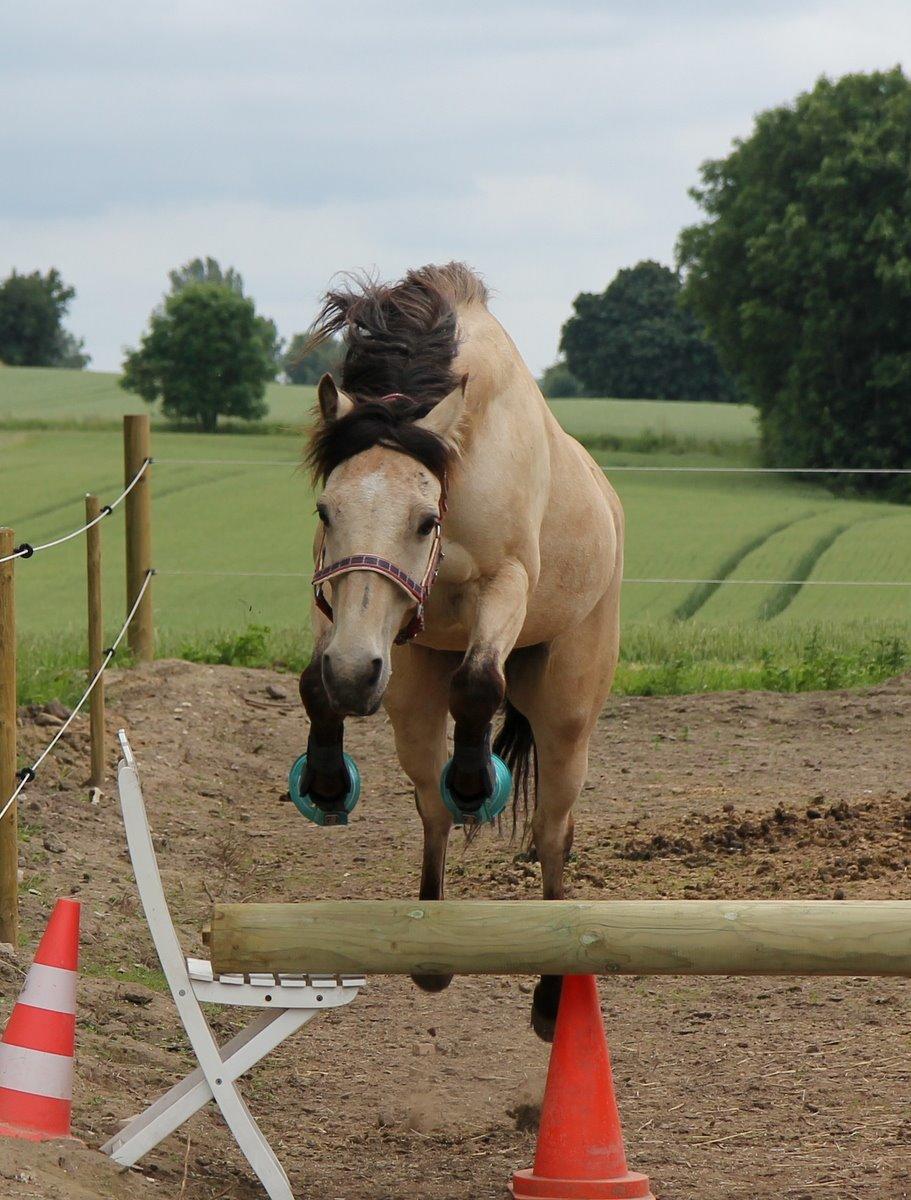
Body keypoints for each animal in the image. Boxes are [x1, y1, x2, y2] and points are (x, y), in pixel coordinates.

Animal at [295, 265, 624, 1041]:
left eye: (424, 520)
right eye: (326, 510)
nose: (357, 673)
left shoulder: (505, 584)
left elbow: (477, 684)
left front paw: (475, 783)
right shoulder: (345, 616)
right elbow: (313, 684)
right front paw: (325, 779)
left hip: (566, 715)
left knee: (553, 834)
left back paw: (552, 1000)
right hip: (410, 690)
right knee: (430, 806)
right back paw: (432, 950)